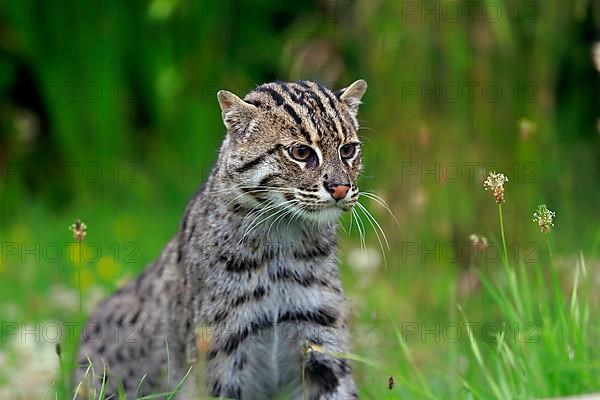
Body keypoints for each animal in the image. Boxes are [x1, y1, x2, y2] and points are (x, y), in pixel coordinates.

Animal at [77, 79, 368, 400]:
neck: (282, 236)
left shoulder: (322, 344)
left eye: (348, 150)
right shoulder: (220, 359)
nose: (340, 188)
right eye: (301, 152)